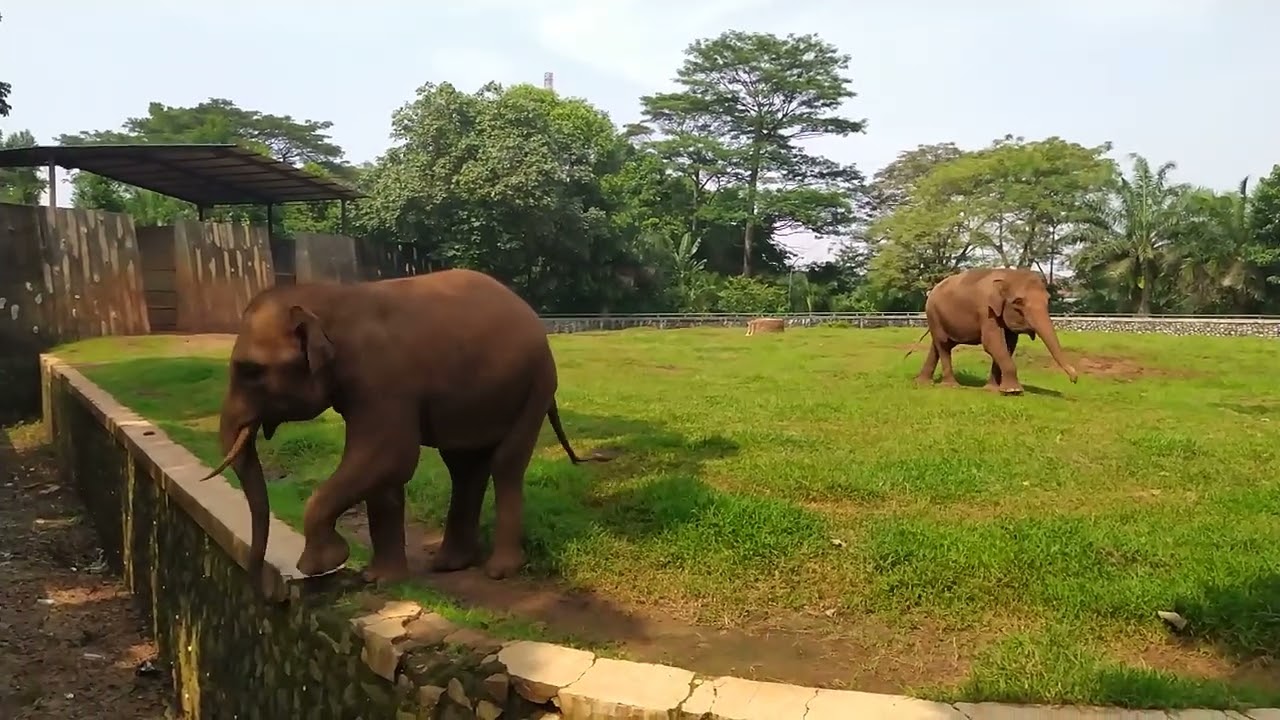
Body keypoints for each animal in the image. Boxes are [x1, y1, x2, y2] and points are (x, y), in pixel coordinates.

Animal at [197, 268, 607, 598]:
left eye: (250, 371)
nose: (264, 590)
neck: (329, 299)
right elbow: (385, 473)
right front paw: (378, 580)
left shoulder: (382, 378)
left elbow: (390, 456)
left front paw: (322, 564)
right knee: (464, 467)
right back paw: (450, 564)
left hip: (537, 383)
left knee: (506, 464)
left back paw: (499, 571)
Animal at [907, 267, 1079, 394]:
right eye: (1018, 302)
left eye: (1048, 300)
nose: (1074, 379)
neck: (1008, 275)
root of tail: (931, 291)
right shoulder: (986, 310)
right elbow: (992, 343)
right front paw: (1013, 391)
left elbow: (1008, 345)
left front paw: (992, 389)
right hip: (933, 314)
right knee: (943, 344)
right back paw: (951, 385)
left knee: (938, 345)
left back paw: (922, 383)